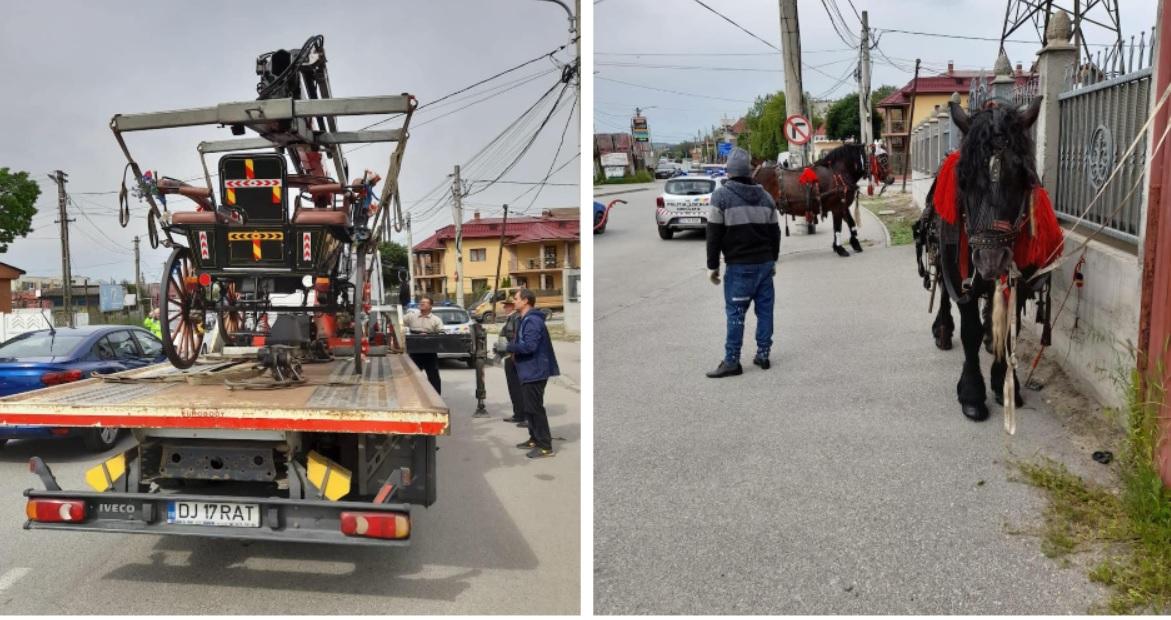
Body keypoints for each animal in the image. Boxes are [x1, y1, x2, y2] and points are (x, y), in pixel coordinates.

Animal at [754, 143, 889, 255]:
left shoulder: (843, 206)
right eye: (882, 159)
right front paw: (840, 249)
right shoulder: (837, 207)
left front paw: (853, 244)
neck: (838, 173)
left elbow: (850, 223)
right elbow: (838, 227)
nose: (891, 178)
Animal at [913, 96, 1063, 421]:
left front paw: (1005, 384)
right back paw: (943, 330)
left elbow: (1008, 331)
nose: (991, 260)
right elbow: (969, 330)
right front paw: (971, 393)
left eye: (1024, 176)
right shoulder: (962, 281)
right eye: (964, 178)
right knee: (944, 294)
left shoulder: (1018, 284)